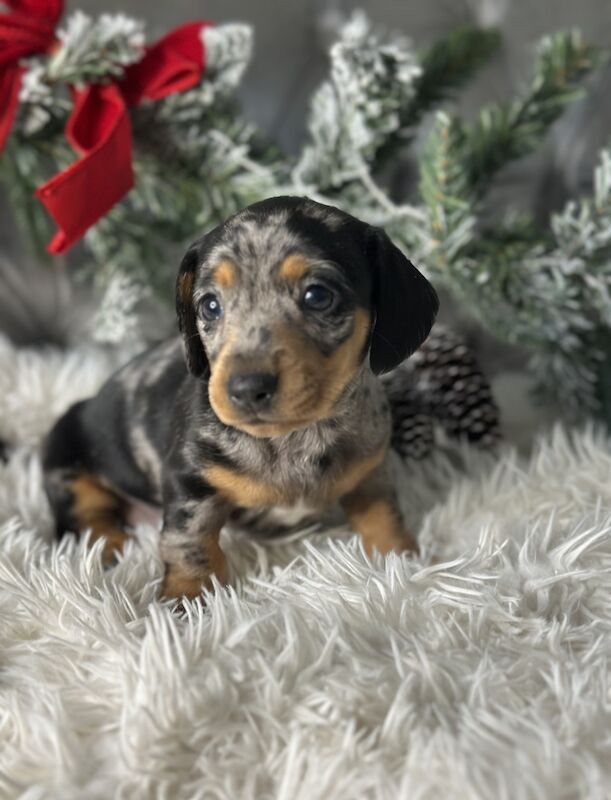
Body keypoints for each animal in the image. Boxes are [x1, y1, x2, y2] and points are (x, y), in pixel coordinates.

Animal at [45, 197, 442, 600]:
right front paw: (187, 597)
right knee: (87, 515)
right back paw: (109, 547)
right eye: (210, 305)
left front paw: (403, 562)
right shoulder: (188, 480)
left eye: (318, 296)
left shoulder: (371, 470)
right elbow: (189, 541)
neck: (293, 438)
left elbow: (383, 514)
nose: (247, 388)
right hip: (65, 462)